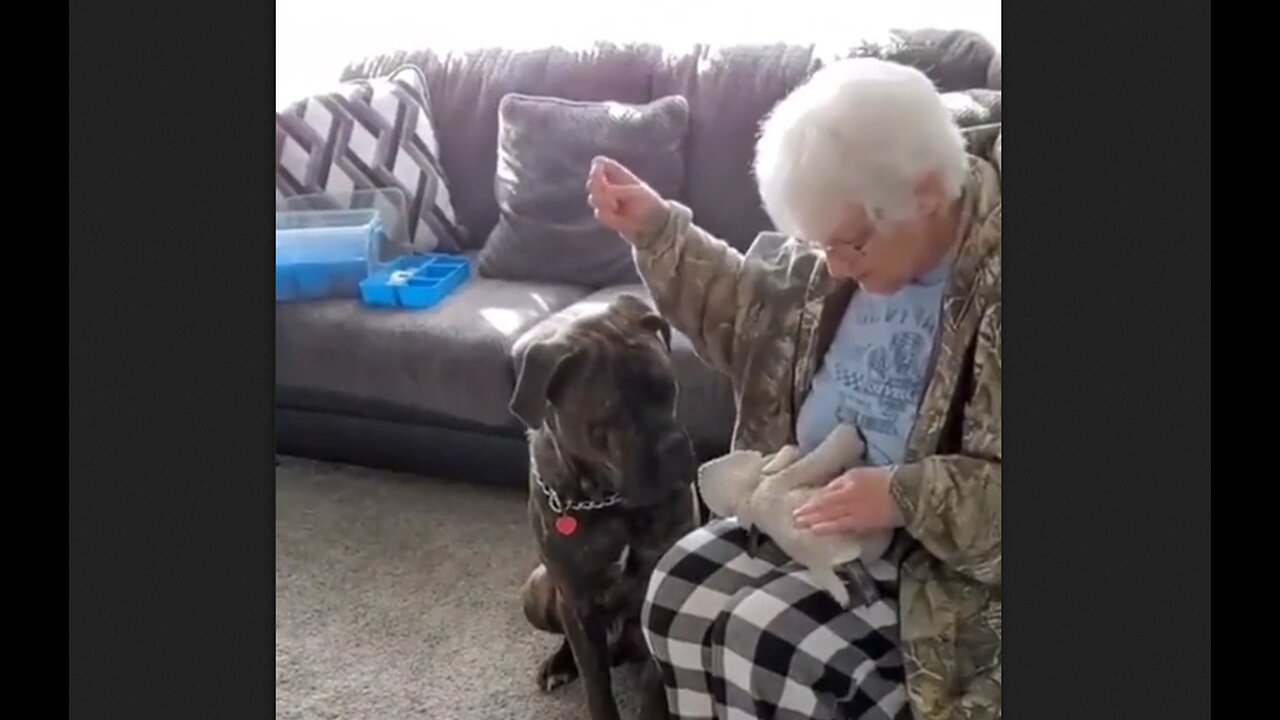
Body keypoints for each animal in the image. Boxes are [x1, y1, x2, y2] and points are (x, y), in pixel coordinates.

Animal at [509, 293, 696, 717]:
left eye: (670, 390)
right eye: (614, 414)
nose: (675, 446)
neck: (607, 501)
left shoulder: (657, 591)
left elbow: (652, 682)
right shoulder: (575, 599)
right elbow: (595, 682)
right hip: (537, 591)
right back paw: (558, 665)